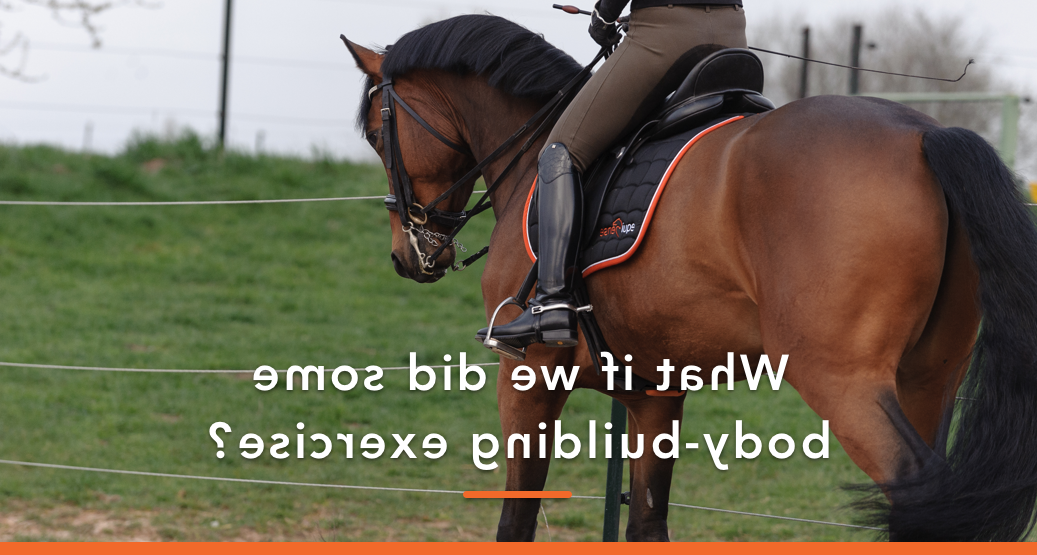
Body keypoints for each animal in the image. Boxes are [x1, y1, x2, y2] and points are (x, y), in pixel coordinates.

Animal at [341, 14, 1037, 541]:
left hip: (843, 381)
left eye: (377, 134)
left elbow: (517, 519)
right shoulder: (655, 390)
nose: (409, 255)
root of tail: (922, 135)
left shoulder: (528, 375)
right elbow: (648, 523)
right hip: (928, 379)